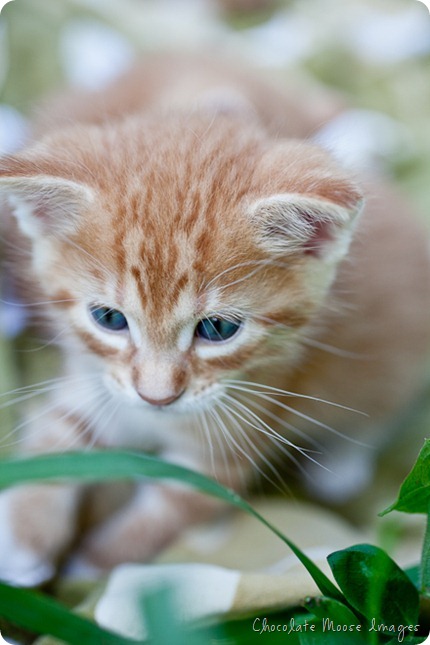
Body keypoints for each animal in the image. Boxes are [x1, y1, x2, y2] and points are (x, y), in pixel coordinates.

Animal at [0, 55, 430, 588]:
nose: (156, 397)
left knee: (380, 416)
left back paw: (340, 465)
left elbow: (168, 512)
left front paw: (97, 567)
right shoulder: (97, 383)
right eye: (109, 318)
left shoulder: (228, 449)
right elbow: (58, 432)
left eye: (218, 330)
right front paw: (24, 534)